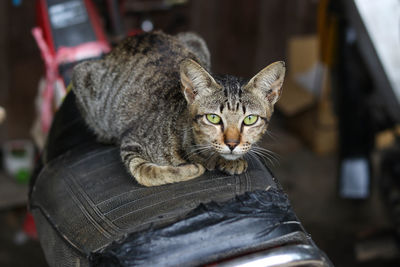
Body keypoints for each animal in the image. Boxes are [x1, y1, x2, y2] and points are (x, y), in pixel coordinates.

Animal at [72, 30, 284, 186]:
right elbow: (145, 173)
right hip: (83, 76)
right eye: (213, 118)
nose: (232, 144)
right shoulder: (131, 142)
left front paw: (230, 161)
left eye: (250, 119)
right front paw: (192, 169)